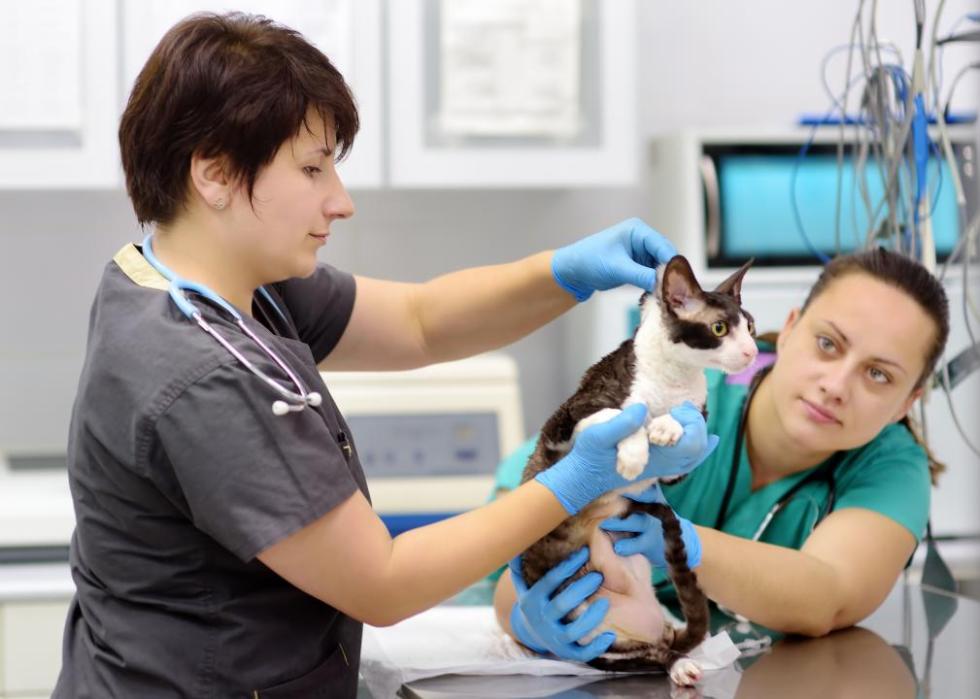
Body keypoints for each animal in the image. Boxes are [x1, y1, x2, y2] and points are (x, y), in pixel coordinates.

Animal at [520, 254, 756, 688]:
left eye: (749, 326)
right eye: (719, 328)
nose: (751, 351)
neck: (675, 381)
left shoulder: (689, 440)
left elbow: (685, 423)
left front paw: (667, 428)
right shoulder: (563, 425)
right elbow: (623, 416)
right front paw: (633, 451)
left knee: (659, 651)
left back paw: (680, 663)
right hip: (589, 637)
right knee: (642, 655)